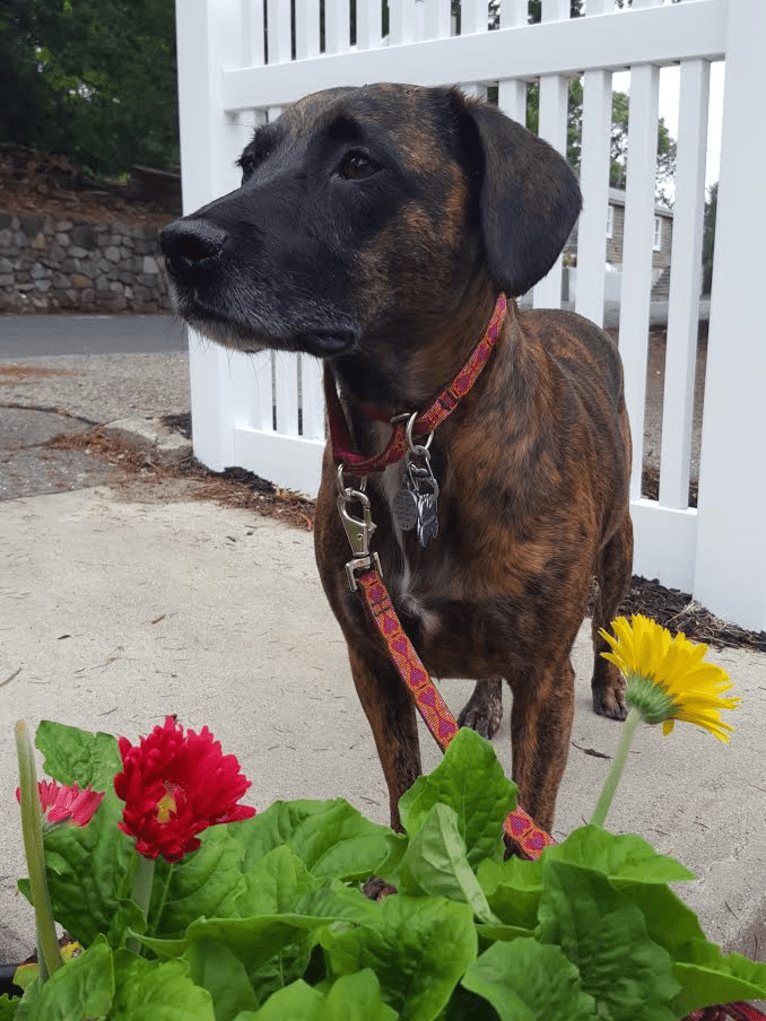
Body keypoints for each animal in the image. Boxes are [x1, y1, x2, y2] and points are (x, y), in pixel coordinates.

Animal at [159, 83, 633, 833]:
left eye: (359, 164)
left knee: (610, 619)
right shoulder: (375, 657)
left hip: (619, 548)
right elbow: (403, 787)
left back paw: (609, 686)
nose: (178, 245)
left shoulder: (544, 678)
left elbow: (527, 816)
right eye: (250, 163)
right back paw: (482, 705)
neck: (410, 431)